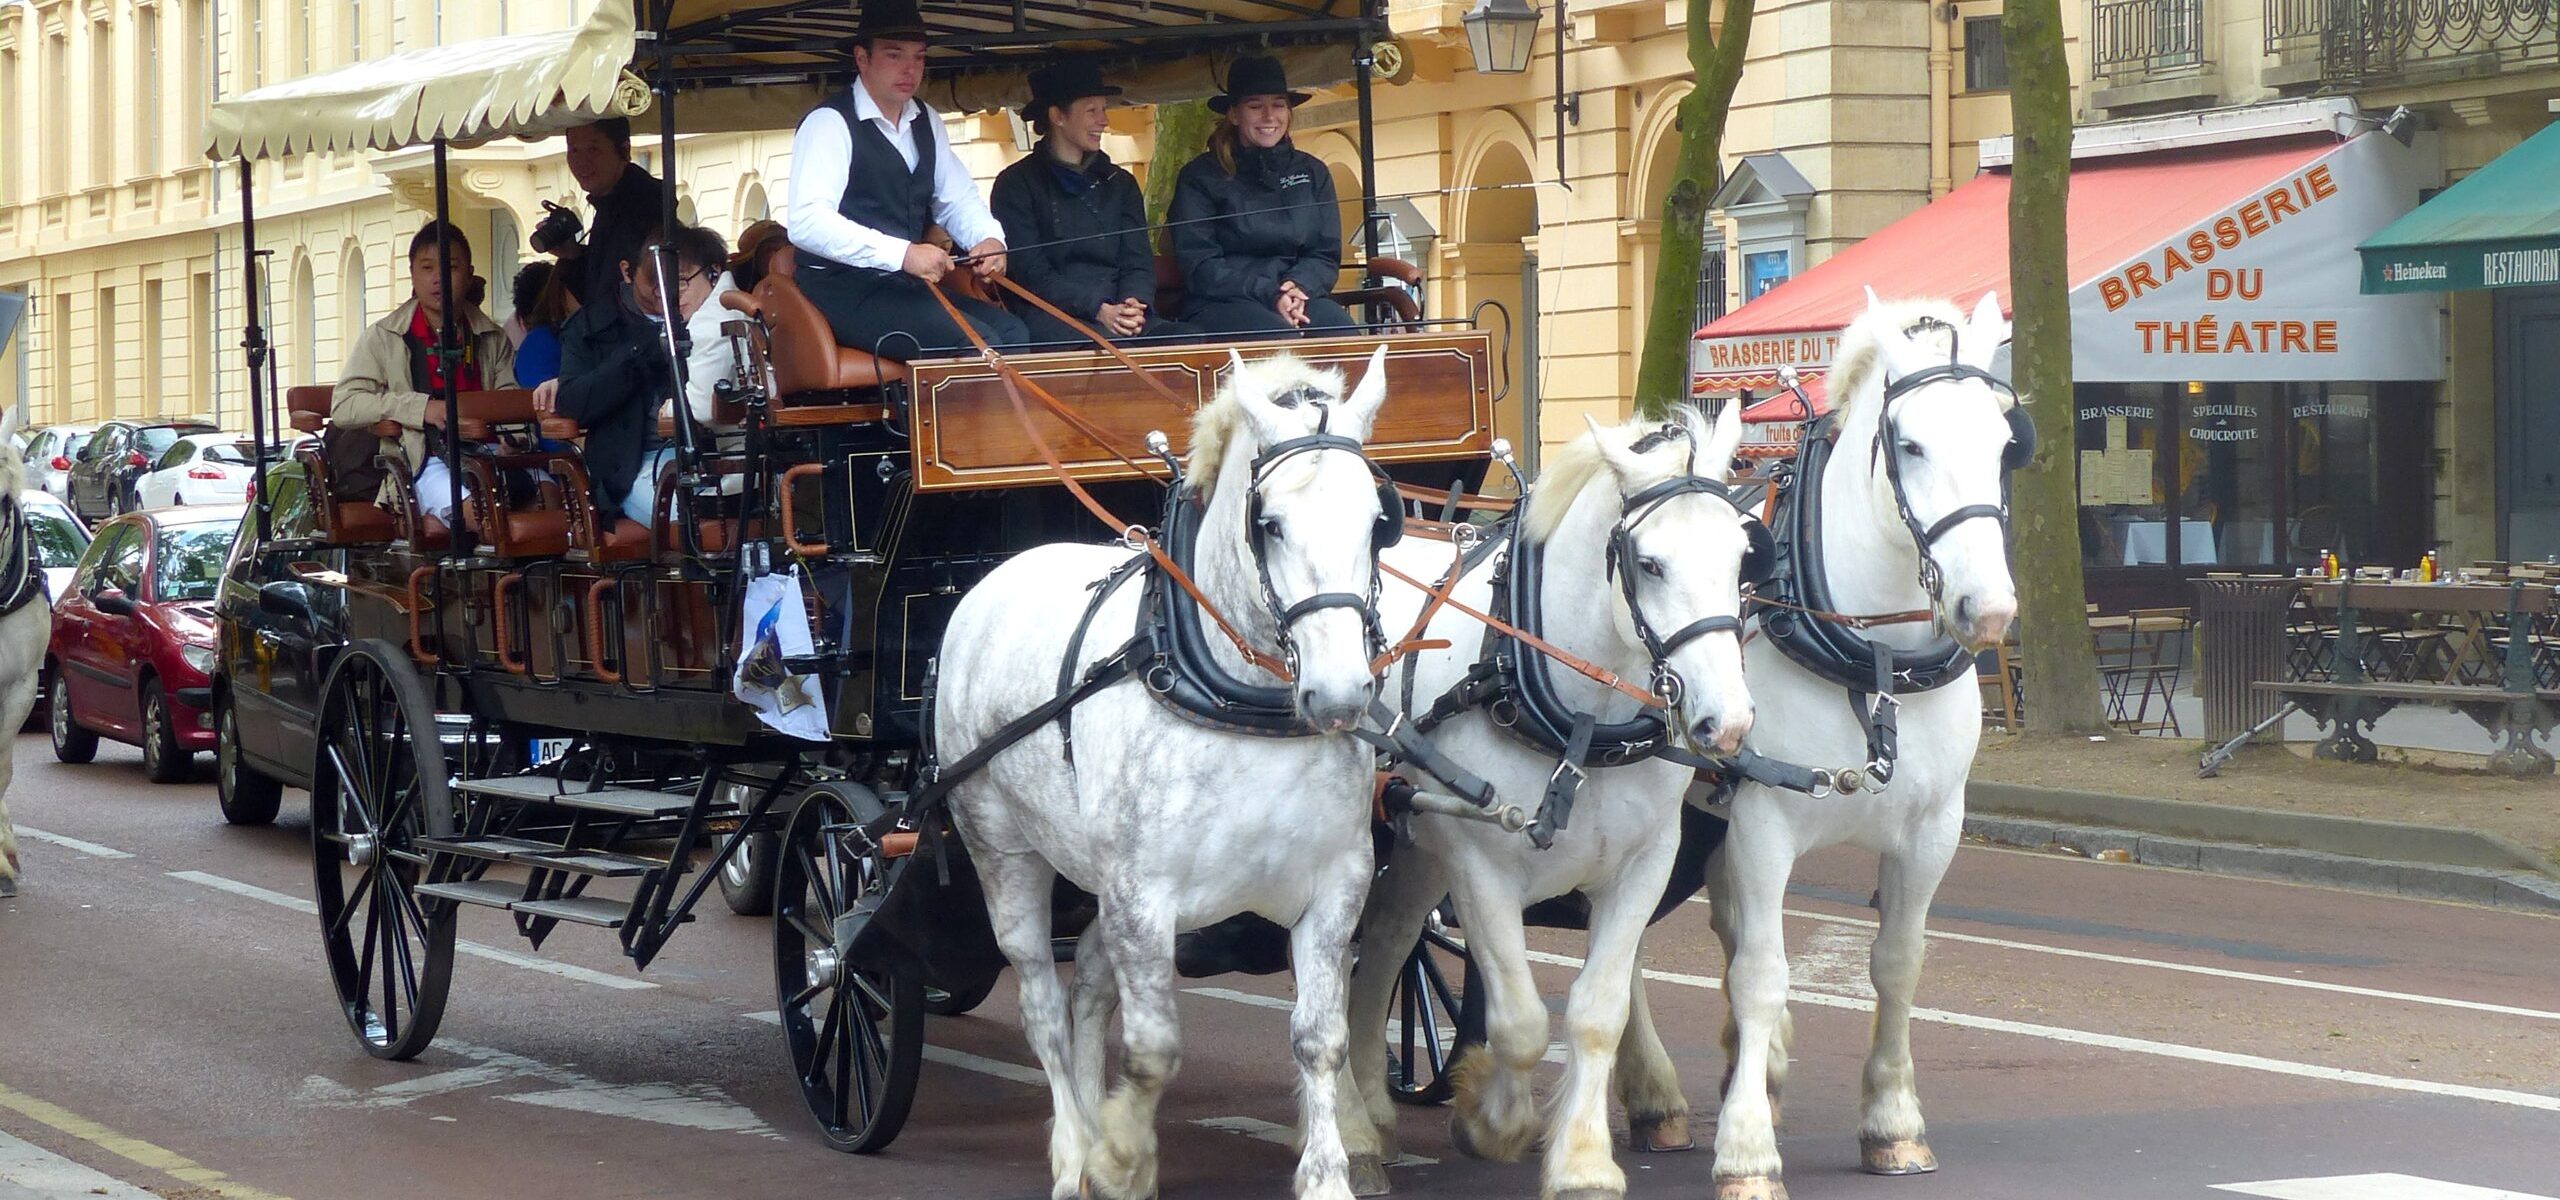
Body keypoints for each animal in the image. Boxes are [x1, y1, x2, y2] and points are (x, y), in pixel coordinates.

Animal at [936, 342, 1392, 1197]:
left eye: (1380, 522)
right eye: (1269, 524)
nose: (1342, 693)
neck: (1235, 702)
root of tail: (992, 582)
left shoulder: (1335, 888)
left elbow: (1319, 1038)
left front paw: (1328, 1174)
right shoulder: (1140, 899)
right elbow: (1153, 1051)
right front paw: (1120, 1157)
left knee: (1084, 985)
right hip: (1003, 851)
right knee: (1043, 1003)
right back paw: (1075, 1148)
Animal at [1351, 406, 1771, 1192]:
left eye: (1741, 557)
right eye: (1650, 563)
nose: (1725, 723)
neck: (1581, 720)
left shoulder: (1644, 864)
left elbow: (1597, 1012)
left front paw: (1581, 1161)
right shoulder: (1481, 865)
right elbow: (1520, 1021)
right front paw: (1489, 1120)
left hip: (1417, 844)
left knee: (1387, 942)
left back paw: (1369, 1107)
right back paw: (1354, 1130)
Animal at [1617, 292, 2017, 1197]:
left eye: (2006, 442)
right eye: (1911, 443)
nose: (1987, 610)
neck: (1873, 661)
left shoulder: (1932, 830)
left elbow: (1898, 962)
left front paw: (1892, 1123)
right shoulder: (1765, 822)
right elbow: (1763, 973)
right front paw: (1746, 1152)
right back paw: (1657, 1094)